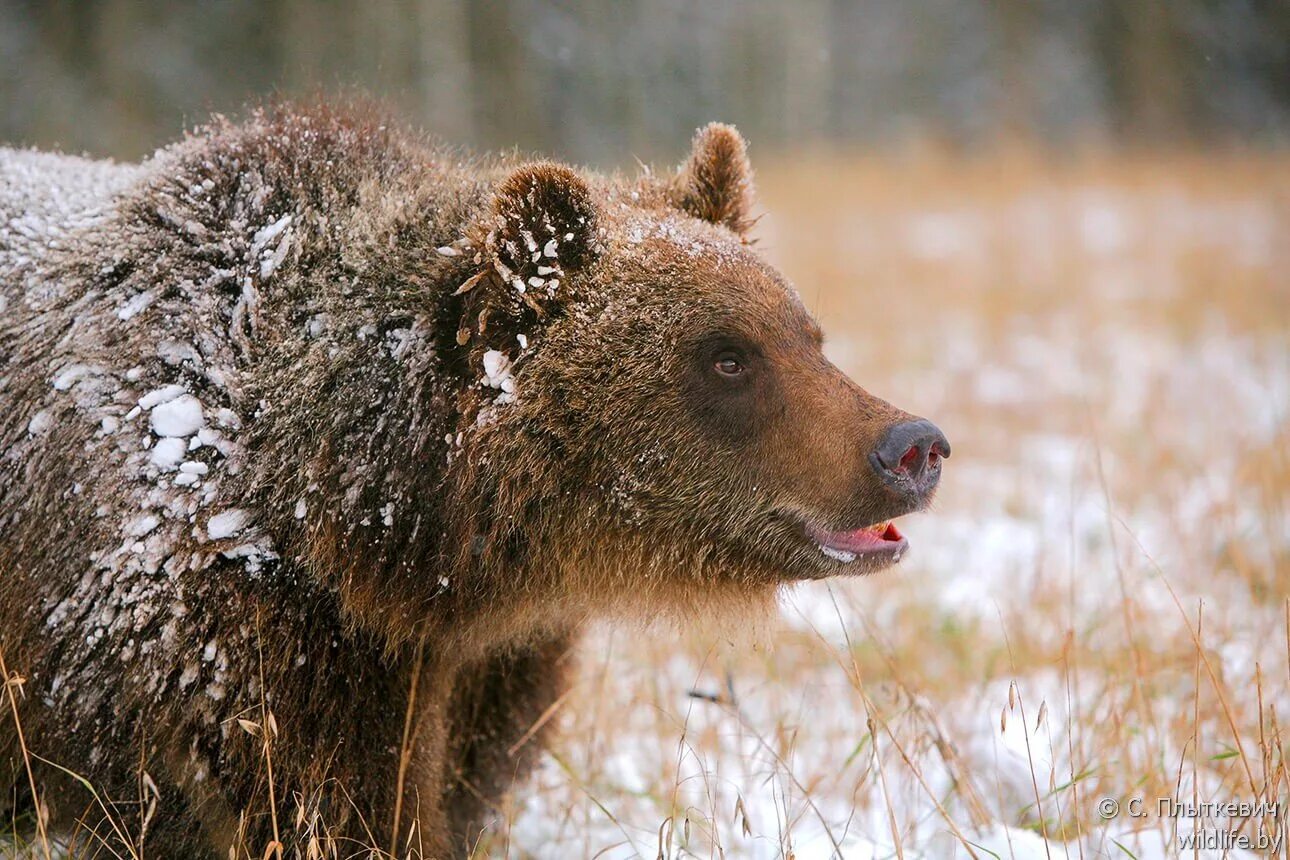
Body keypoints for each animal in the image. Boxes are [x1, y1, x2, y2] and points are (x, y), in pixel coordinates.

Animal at [0, 104, 949, 856]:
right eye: (727, 357)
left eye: (806, 334)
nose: (913, 446)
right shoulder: (209, 637)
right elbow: (298, 804)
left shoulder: (483, 666)